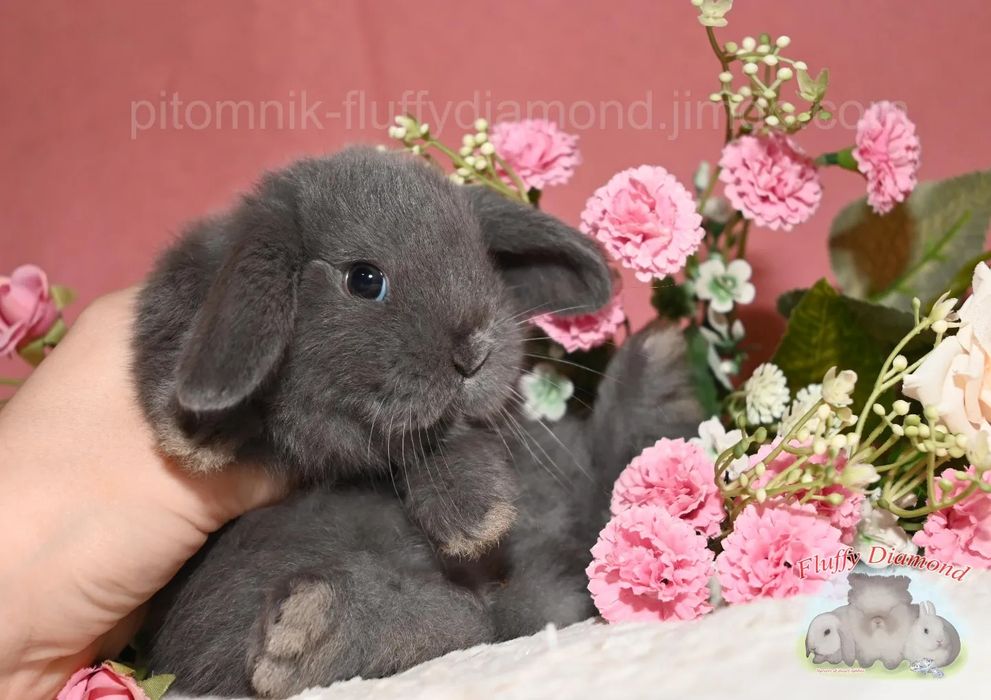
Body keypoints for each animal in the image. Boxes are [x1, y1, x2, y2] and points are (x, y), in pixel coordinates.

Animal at [137, 147, 616, 696]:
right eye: (365, 280)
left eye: (484, 263)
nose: (475, 353)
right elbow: (172, 334)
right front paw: (195, 431)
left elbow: (447, 443)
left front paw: (474, 518)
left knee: (445, 620)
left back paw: (308, 639)